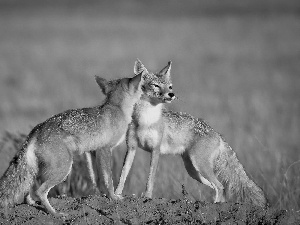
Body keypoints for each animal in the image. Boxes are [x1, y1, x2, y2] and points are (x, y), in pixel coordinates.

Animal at [0, 71, 144, 217]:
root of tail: (37, 129)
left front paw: (99, 194)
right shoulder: (105, 149)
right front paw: (113, 196)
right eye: (141, 87)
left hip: (40, 171)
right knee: (40, 191)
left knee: (28, 190)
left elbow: (96, 178)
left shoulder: (93, 152)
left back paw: (33, 203)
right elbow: (108, 179)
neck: (116, 107)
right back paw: (55, 213)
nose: (145, 92)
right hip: (64, 168)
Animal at [109, 59, 268, 207]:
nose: (171, 94)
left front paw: (147, 196)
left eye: (170, 86)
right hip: (194, 171)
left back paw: (215, 206)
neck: (145, 120)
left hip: (200, 166)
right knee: (218, 187)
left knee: (220, 186)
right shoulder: (132, 148)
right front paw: (117, 194)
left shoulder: (155, 150)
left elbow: (151, 177)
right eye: (156, 85)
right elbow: (123, 174)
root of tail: (217, 134)